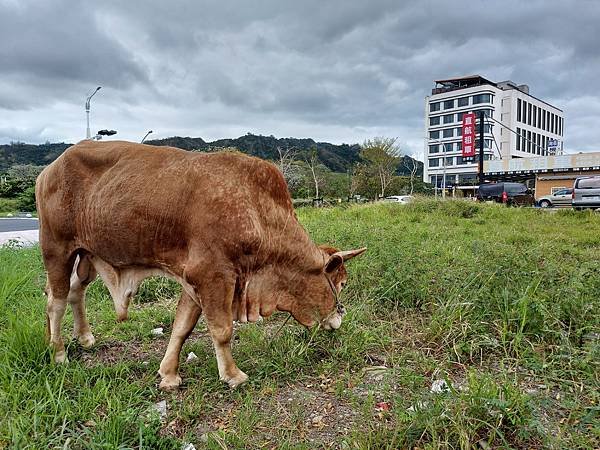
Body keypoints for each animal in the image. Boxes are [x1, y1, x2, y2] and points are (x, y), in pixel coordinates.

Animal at [38, 142, 366, 390]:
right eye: (341, 283)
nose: (339, 318)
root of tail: (49, 169)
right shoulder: (214, 276)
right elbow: (222, 330)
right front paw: (233, 375)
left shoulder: (194, 281)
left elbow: (182, 327)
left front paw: (169, 374)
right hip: (56, 249)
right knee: (55, 302)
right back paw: (59, 353)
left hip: (86, 256)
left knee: (74, 292)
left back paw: (81, 338)